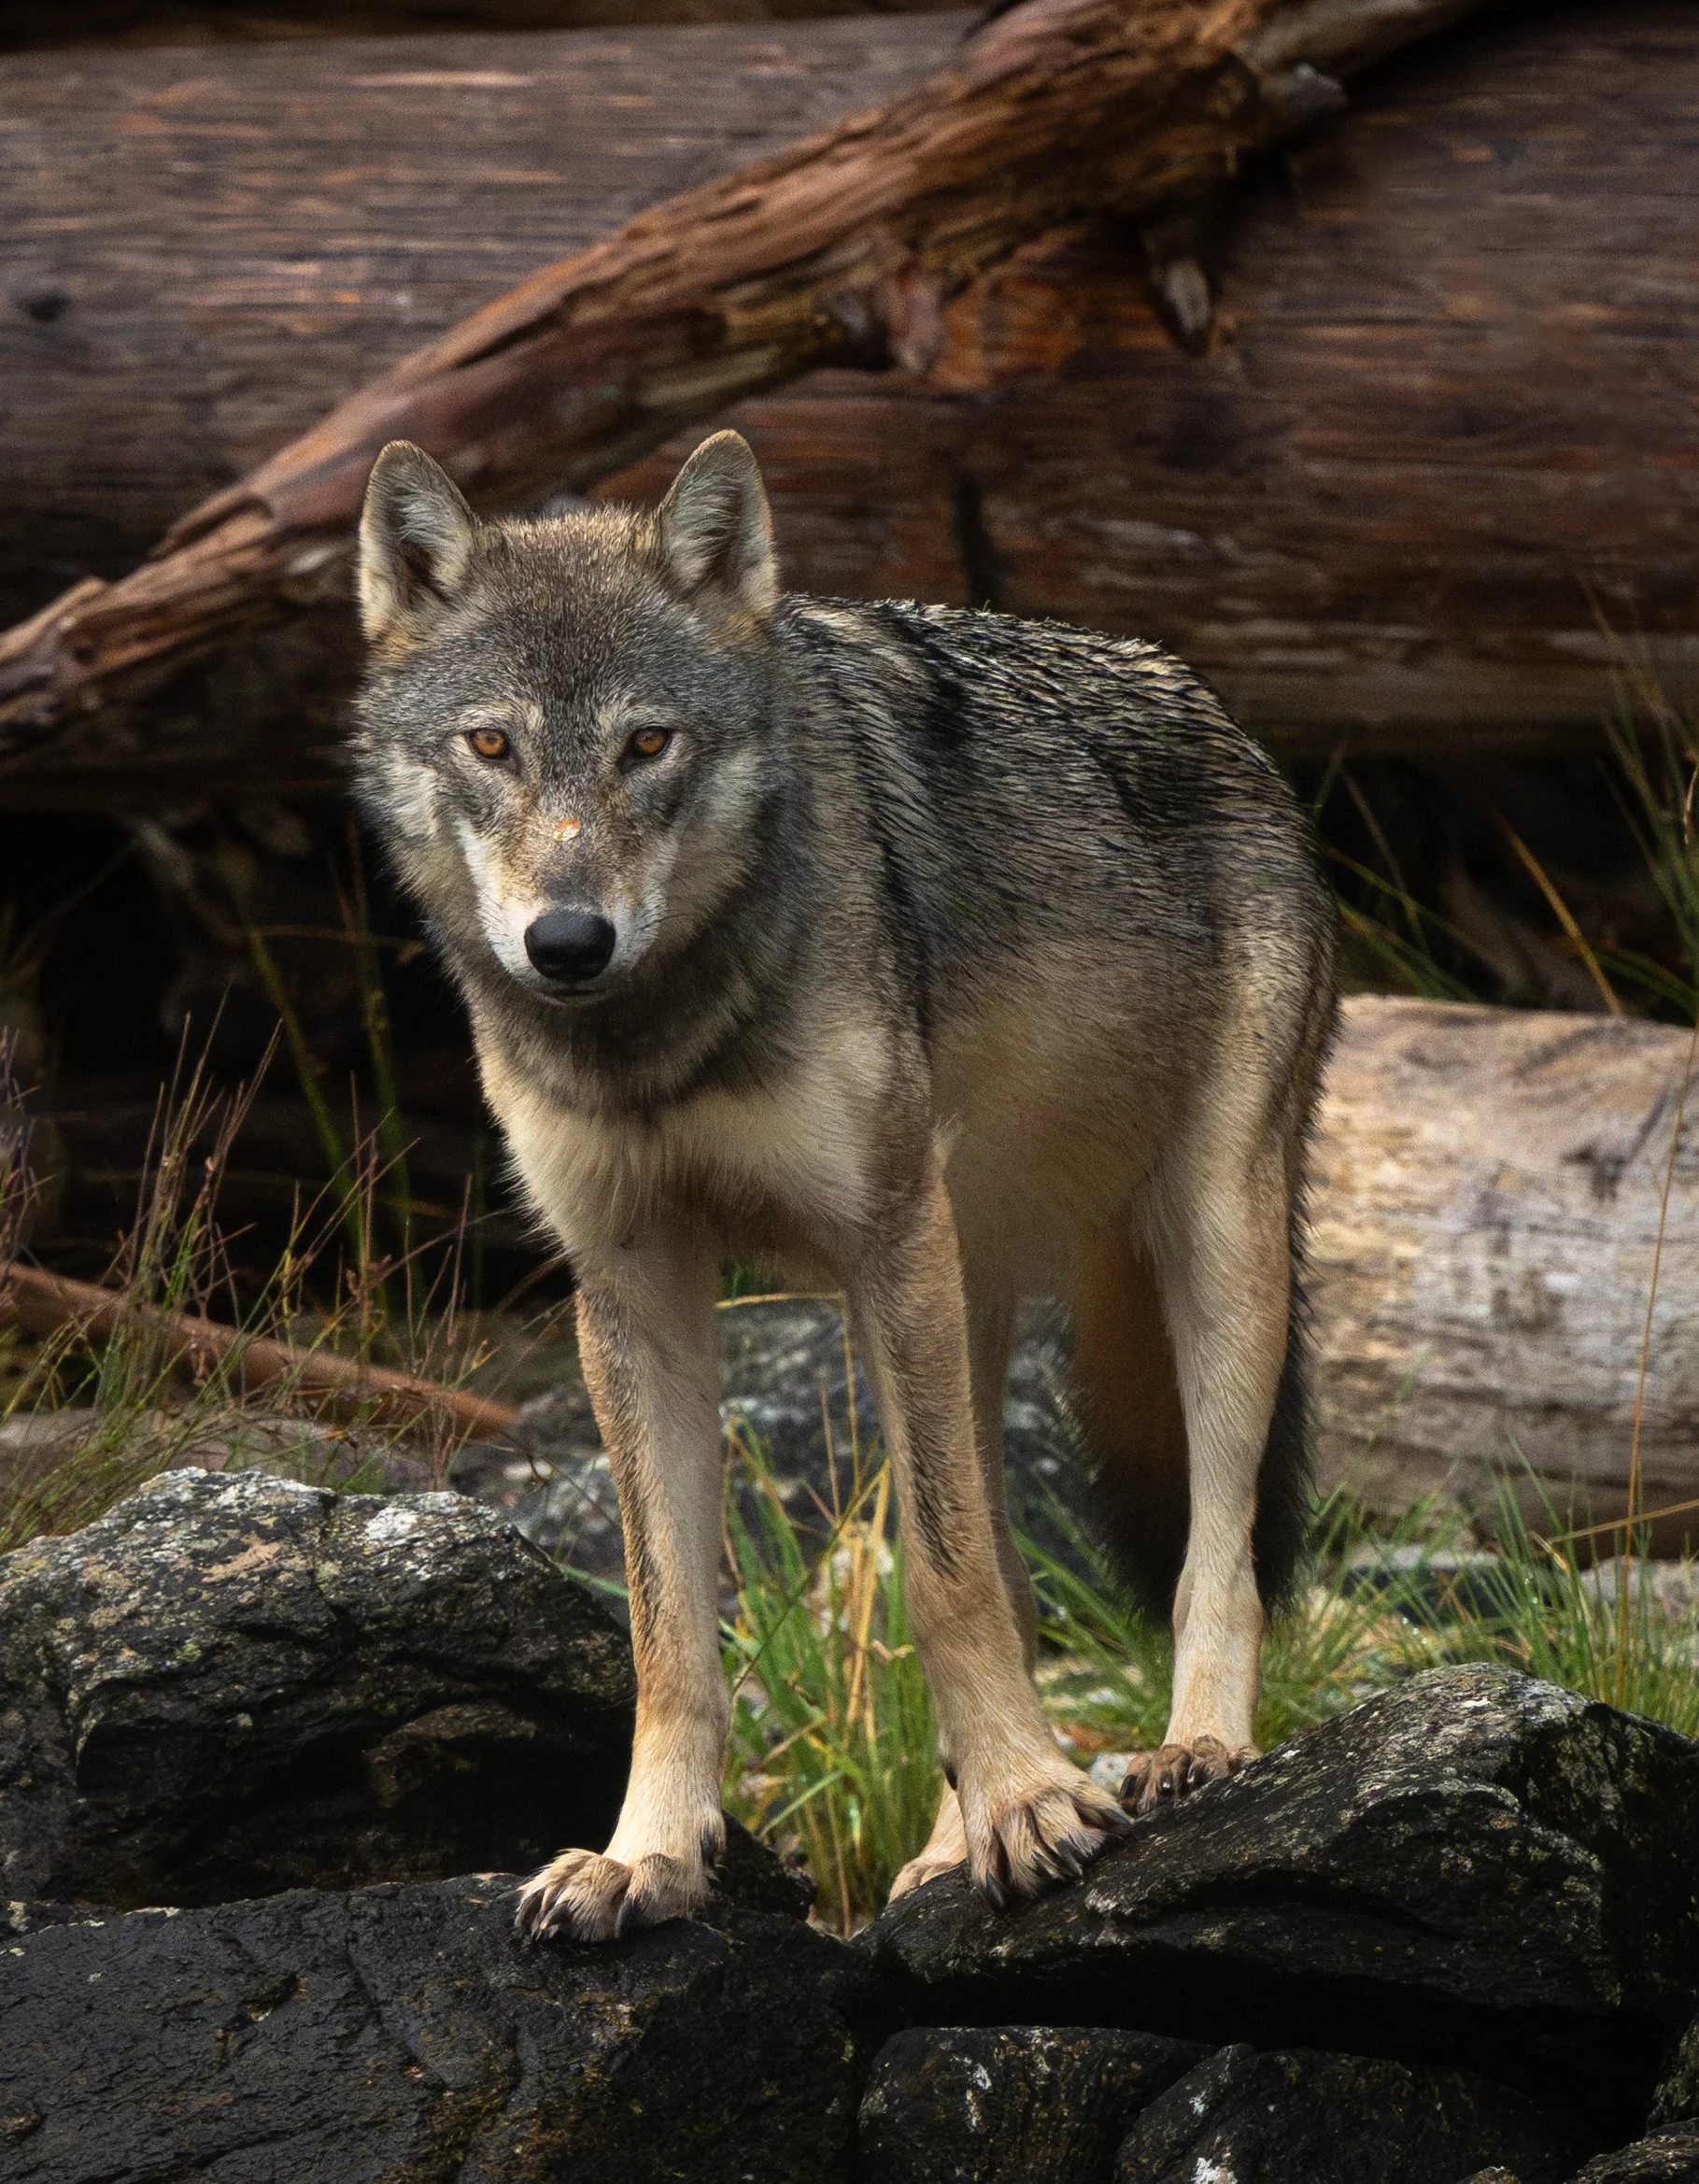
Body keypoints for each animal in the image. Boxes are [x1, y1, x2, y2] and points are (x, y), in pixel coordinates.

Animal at [352, 428, 1336, 1942]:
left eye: (648, 744)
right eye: (491, 745)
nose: (567, 941)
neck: (660, 1040)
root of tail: (1207, 703)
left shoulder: (880, 1237)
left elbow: (941, 1576)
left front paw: (1031, 1801)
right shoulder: (631, 1286)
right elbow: (669, 1631)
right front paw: (646, 1855)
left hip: (1205, 1252)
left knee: (1207, 1557)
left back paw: (1187, 1753)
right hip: (960, 1299)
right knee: (1010, 1566)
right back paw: (946, 1847)